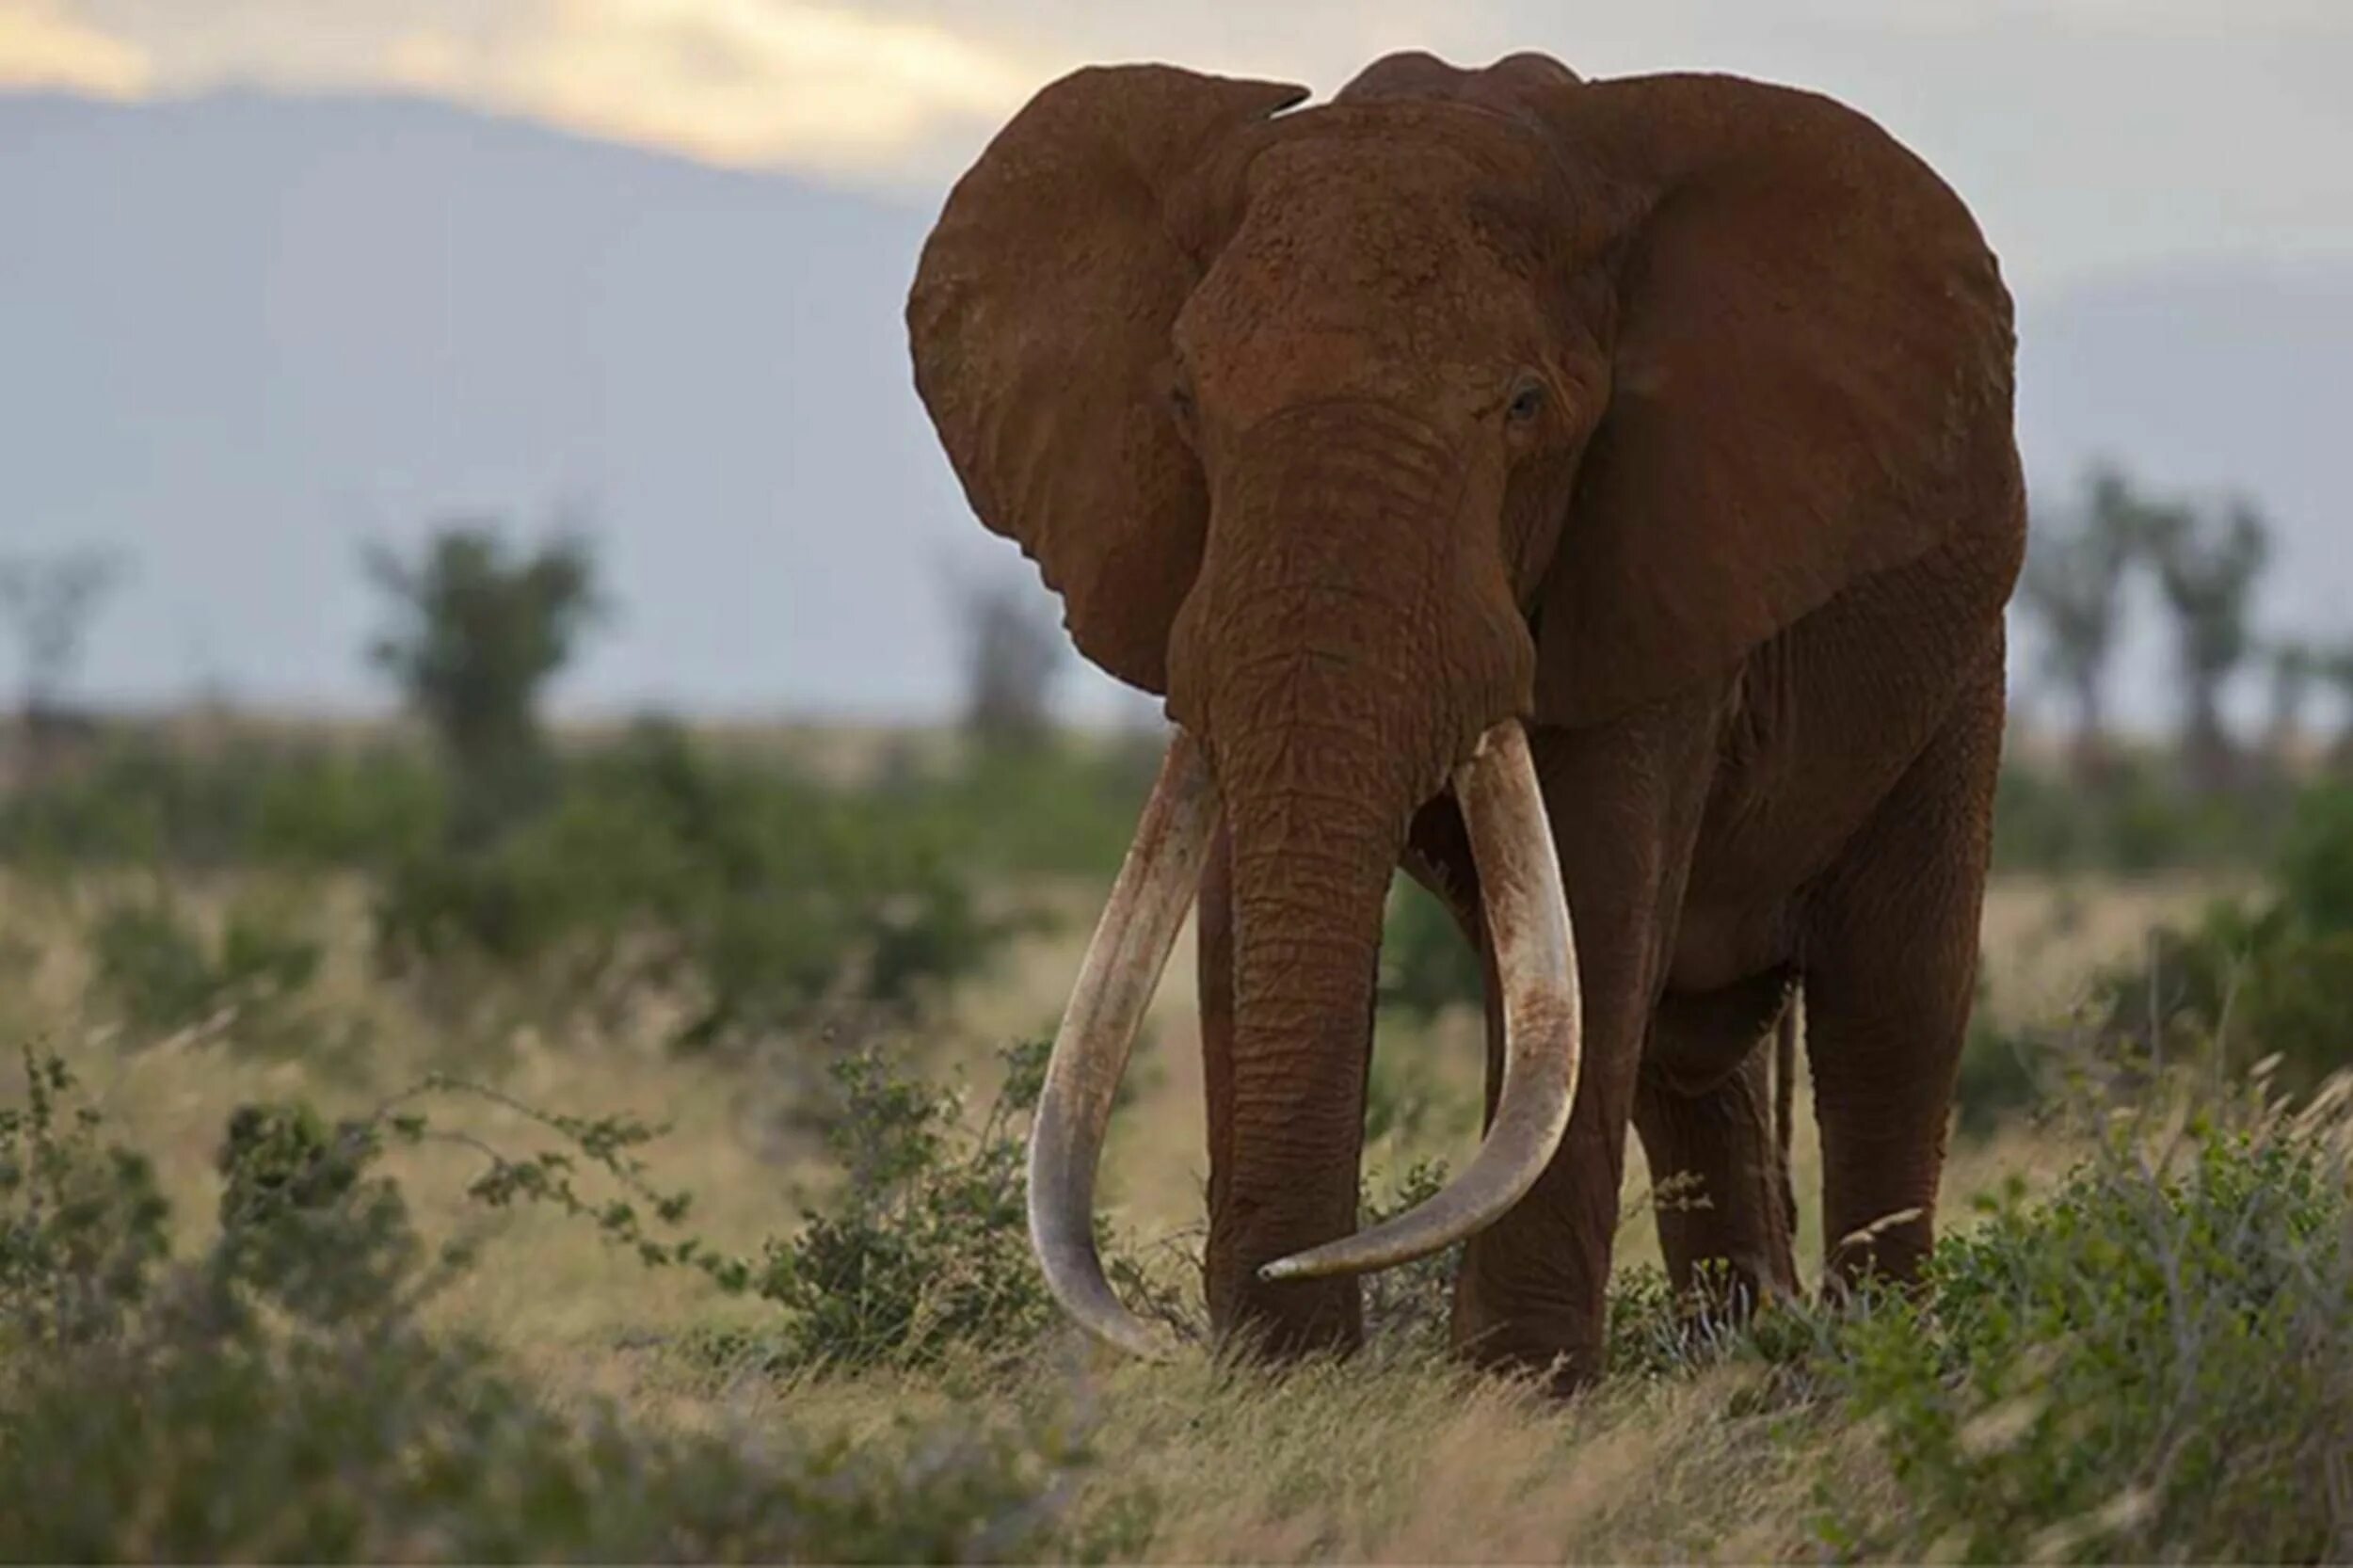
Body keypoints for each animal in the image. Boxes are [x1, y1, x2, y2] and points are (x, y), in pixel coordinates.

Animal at [899, 52, 2024, 1393]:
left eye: (1527, 405)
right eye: (1179, 400)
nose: (1276, 1296)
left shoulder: (1655, 557)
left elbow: (1596, 898)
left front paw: (1515, 1400)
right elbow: (1243, 900)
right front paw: (1284, 1386)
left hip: (1958, 658)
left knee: (1887, 1013)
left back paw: (1868, 1373)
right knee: (1685, 1052)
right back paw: (1748, 1368)